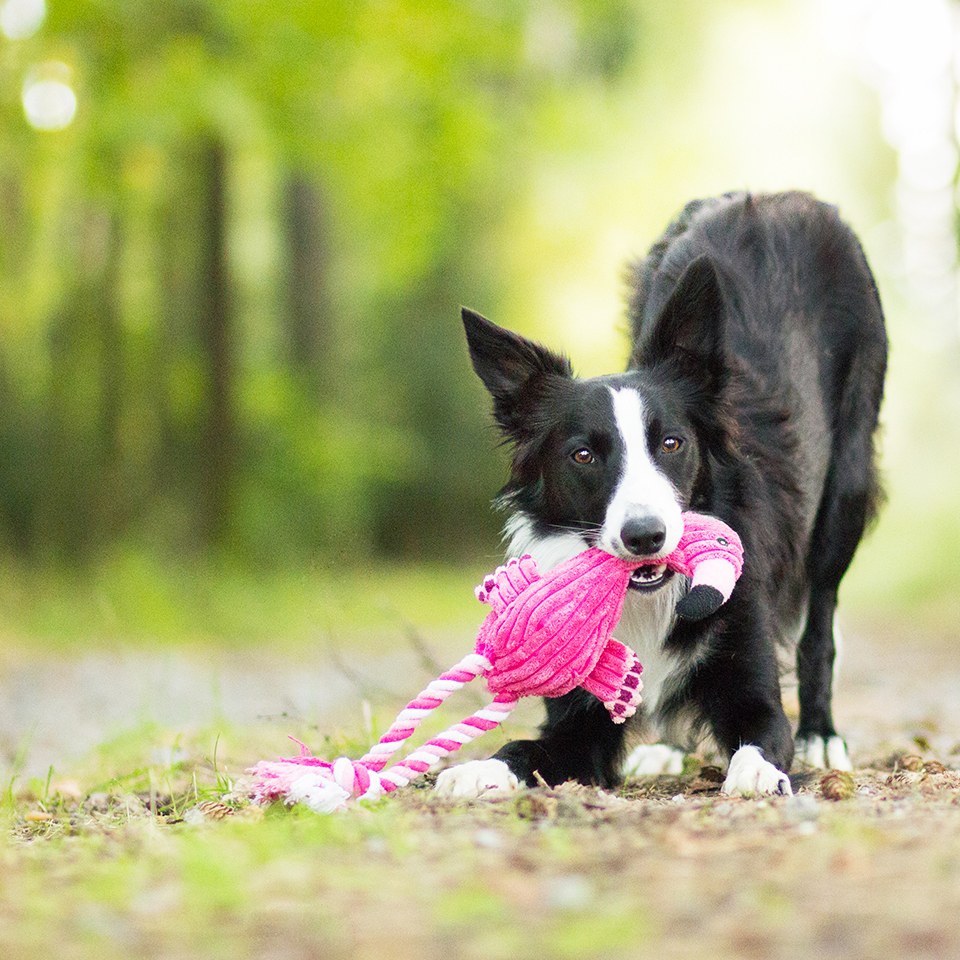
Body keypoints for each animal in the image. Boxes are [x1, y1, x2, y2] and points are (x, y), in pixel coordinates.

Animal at [438, 191, 888, 800]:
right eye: (584, 455)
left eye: (672, 443)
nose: (645, 536)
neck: (650, 599)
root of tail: (774, 197)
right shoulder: (580, 722)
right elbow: (525, 748)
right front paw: (477, 770)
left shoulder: (751, 681)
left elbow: (761, 735)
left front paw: (758, 772)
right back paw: (669, 749)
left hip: (844, 494)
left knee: (820, 622)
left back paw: (822, 733)